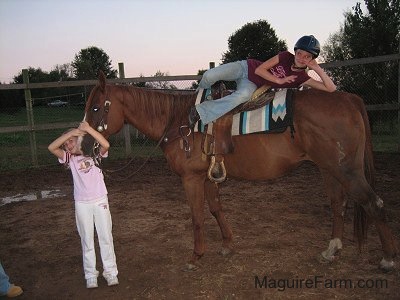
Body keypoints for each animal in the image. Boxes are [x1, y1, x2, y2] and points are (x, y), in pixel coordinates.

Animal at [82, 72, 396, 272]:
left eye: (96, 108)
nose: (84, 146)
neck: (180, 122)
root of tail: (349, 99)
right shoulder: (208, 176)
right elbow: (215, 209)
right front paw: (227, 245)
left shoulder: (191, 179)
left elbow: (197, 216)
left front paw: (196, 256)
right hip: (329, 170)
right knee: (337, 205)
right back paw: (331, 251)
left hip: (347, 171)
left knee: (375, 204)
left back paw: (388, 260)